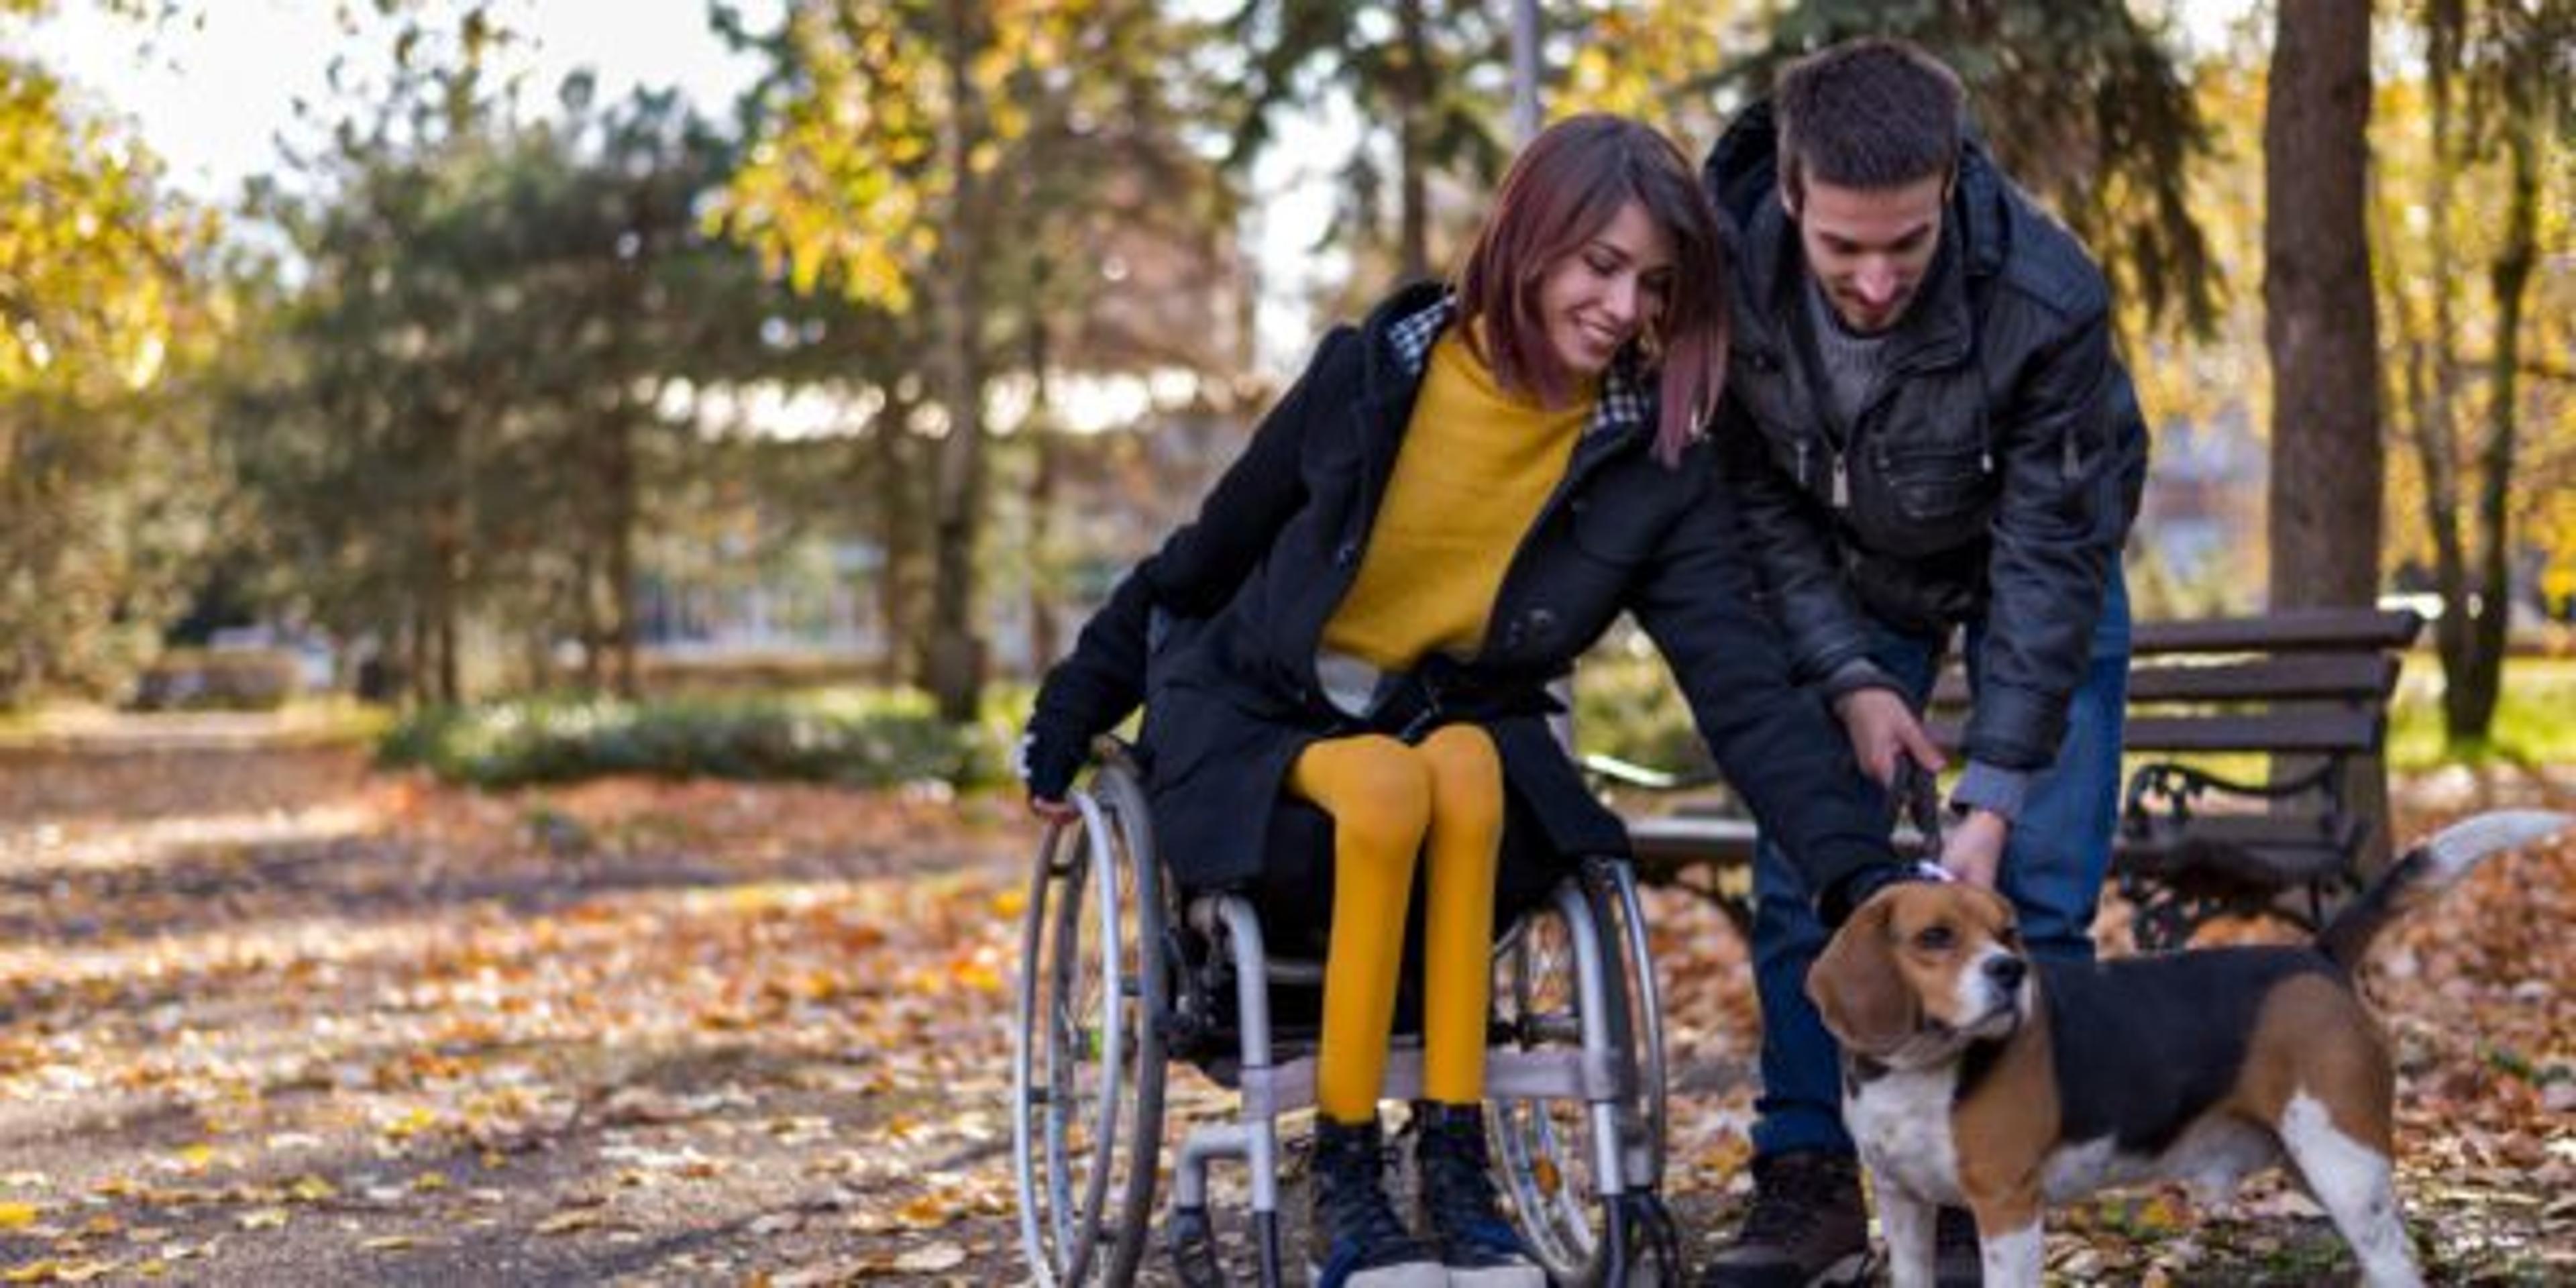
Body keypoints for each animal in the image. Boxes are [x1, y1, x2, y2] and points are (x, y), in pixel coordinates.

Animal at [1813, 814, 2576, 1288]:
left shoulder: (2008, 1207)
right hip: (2312, 1159)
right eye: (1935, 937)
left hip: (2344, 1161)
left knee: (2396, 1262)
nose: (2010, 972)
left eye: (2007, 932)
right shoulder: (1903, 1202)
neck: (1918, 1072)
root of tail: (2318, 954)